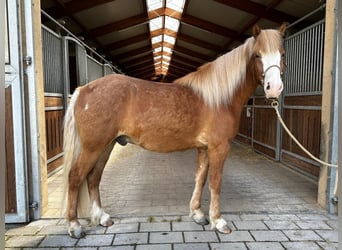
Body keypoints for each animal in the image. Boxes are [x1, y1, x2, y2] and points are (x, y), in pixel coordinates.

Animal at [63, 24, 286, 237]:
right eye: (257, 55)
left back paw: (102, 217)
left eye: (282, 54)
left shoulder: (204, 148)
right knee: (75, 177)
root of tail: (83, 90)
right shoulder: (219, 148)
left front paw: (198, 214)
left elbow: (200, 179)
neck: (218, 98)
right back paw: (74, 226)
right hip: (93, 147)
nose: (274, 87)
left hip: (106, 146)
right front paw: (218, 221)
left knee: (93, 177)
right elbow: (215, 183)